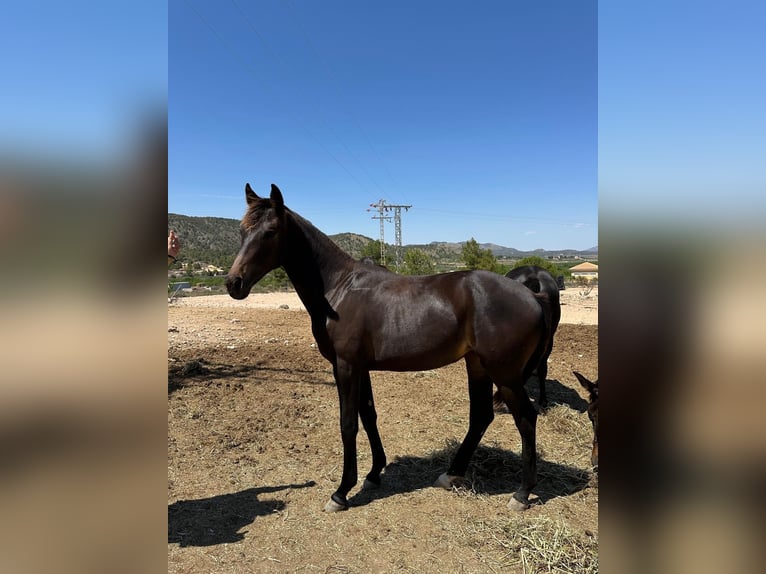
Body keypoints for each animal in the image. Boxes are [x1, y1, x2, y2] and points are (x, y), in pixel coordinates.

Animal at [226, 183, 553, 512]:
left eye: (270, 232)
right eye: (242, 231)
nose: (233, 283)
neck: (338, 289)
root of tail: (532, 296)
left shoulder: (345, 366)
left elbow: (348, 424)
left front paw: (341, 492)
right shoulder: (360, 367)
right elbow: (369, 416)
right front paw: (373, 473)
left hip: (505, 374)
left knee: (526, 419)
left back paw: (522, 493)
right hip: (477, 365)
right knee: (481, 416)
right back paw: (451, 474)